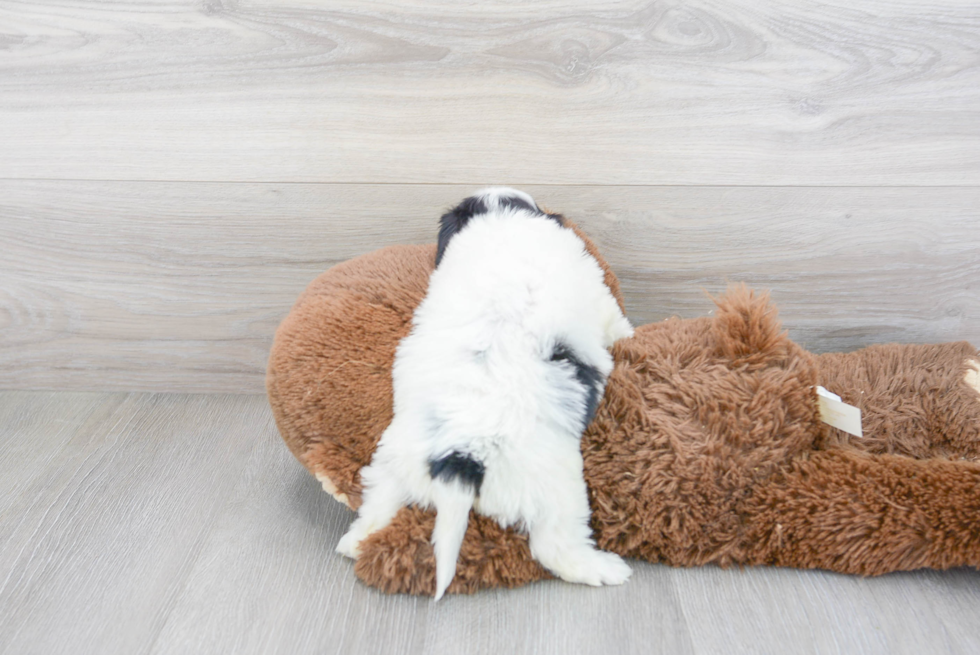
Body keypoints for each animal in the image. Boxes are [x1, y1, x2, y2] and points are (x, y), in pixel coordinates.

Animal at [338, 186, 636, 600]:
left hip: (390, 464)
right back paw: (604, 569)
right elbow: (617, 323)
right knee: (553, 547)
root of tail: (460, 459)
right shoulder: (599, 298)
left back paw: (355, 541)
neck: (499, 217)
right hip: (558, 492)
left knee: (376, 505)